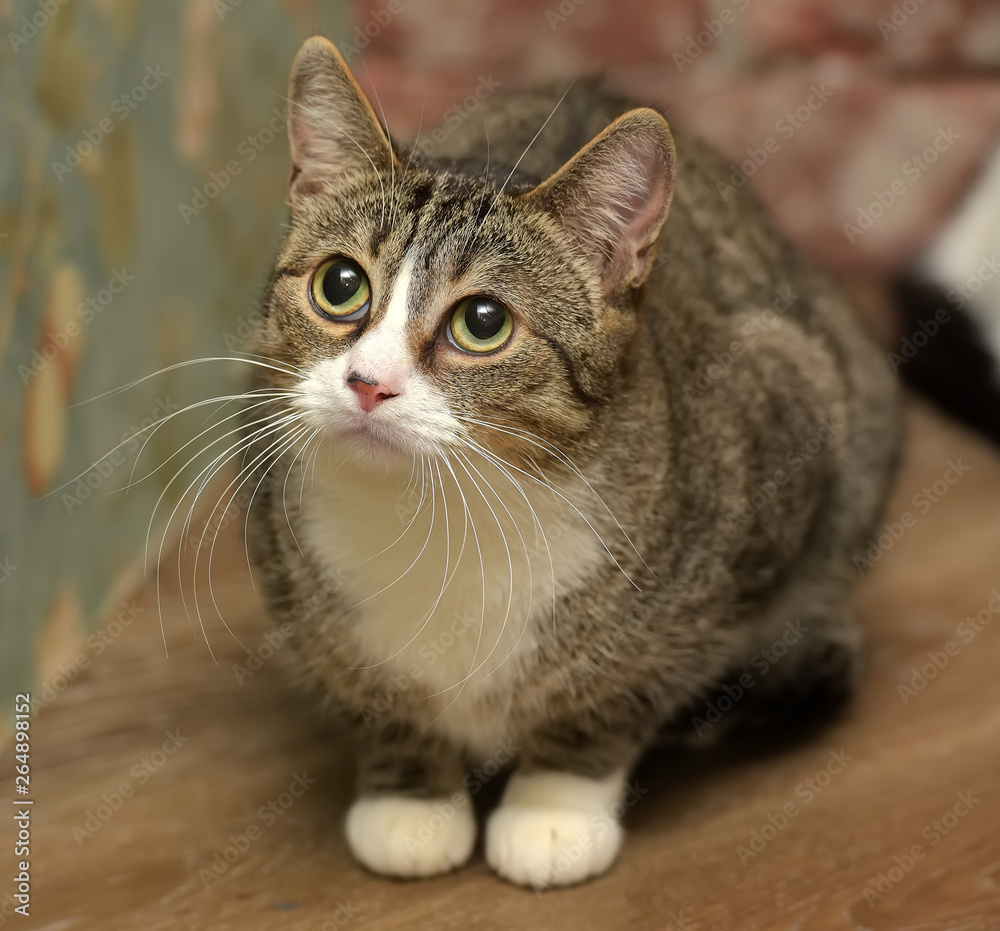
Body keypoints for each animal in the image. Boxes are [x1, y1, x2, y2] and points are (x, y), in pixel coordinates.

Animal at [240, 36, 900, 888]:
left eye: (483, 322)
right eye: (339, 283)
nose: (368, 382)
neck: (444, 516)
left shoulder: (774, 466)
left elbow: (623, 690)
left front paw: (552, 806)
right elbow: (369, 688)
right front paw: (412, 793)